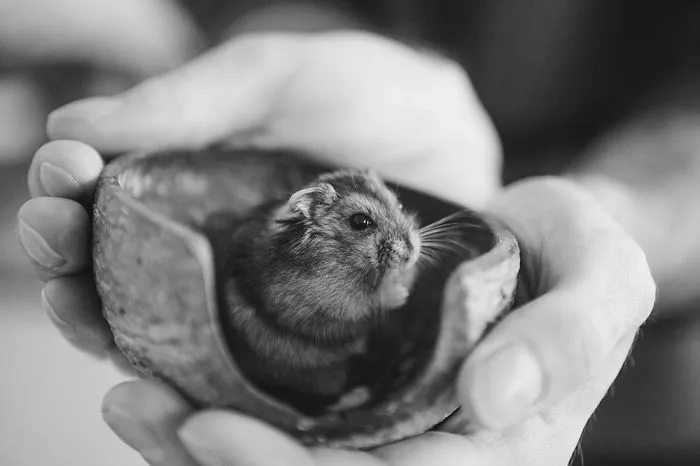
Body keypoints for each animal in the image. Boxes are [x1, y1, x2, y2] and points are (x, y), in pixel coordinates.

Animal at [221, 169, 425, 409]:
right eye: (360, 221)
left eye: (400, 206)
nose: (410, 255)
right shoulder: (328, 305)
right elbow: (368, 303)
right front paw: (400, 294)